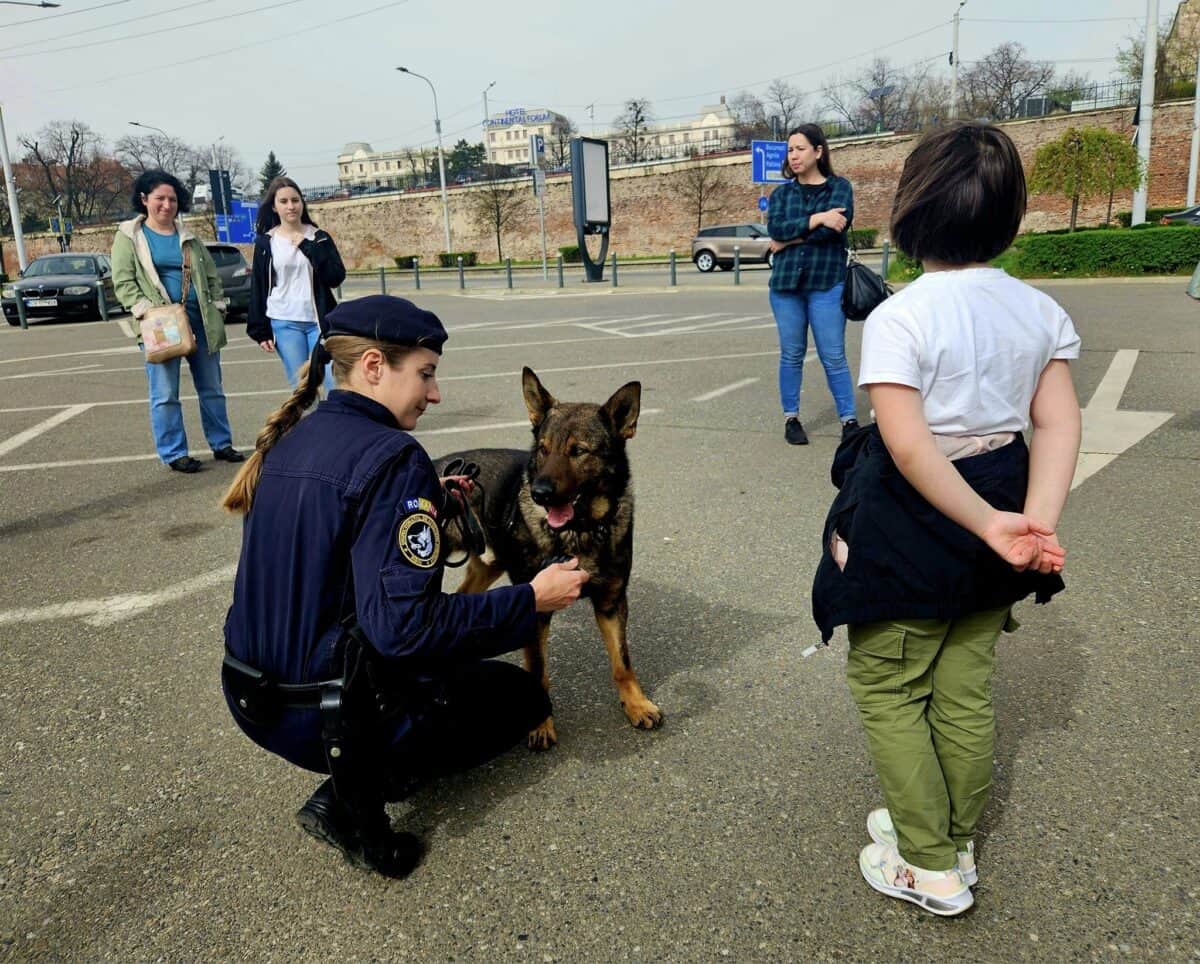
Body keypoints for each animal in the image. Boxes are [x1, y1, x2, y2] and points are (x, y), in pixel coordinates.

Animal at [434, 364, 662, 749]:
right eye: (543, 449)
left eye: (579, 451)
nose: (540, 493)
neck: (580, 530)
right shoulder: (535, 607)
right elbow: (538, 670)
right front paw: (540, 723)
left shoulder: (611, 603)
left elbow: (622, 663)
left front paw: (636, 703)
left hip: (490, 566)